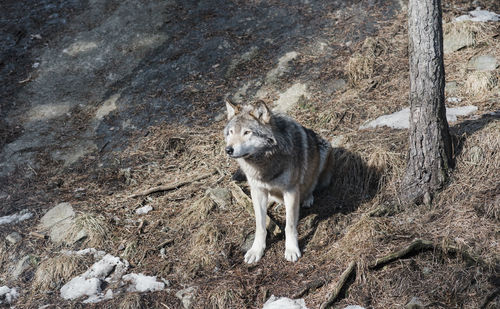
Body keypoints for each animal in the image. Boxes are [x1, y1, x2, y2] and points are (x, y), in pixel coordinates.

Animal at [225, 99, 334, 262]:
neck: (264, 162)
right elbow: (260, 226)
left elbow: (290, 225)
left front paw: (292, 249)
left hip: (324, 149)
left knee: (313, 184)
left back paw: (307, 198)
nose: (228, 149)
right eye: (231, 132)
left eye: (247, 132)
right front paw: (256, 250)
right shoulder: (258, 191)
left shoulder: (291, 191)